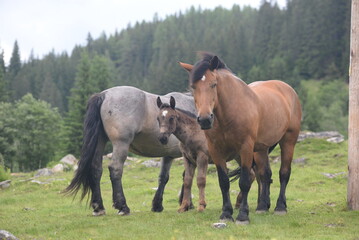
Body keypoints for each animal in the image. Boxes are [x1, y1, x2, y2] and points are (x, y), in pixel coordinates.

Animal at [63, 86, 195, 216]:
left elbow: (164, 177)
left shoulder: (168, 155)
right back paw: (122, 206)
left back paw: (98, 207)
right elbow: (187, 176)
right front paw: (187, 204)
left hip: (100, 141)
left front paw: (157, 205)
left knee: (96, 169)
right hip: (121, 144)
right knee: (115, 169)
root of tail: (104, 95)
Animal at [179, 53, 300, 224]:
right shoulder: (216, 150)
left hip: (288, 141)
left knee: (284, 172)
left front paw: (242, 215)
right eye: (193, 87)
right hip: (261, 149)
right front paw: (226, 213)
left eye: (213, 84)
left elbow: (244, 181)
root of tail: (287, 89)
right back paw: (262, 207)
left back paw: (280, 207)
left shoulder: (245, 148)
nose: (205, 119)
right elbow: (223, 182)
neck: (230, 113)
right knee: (265, 174)